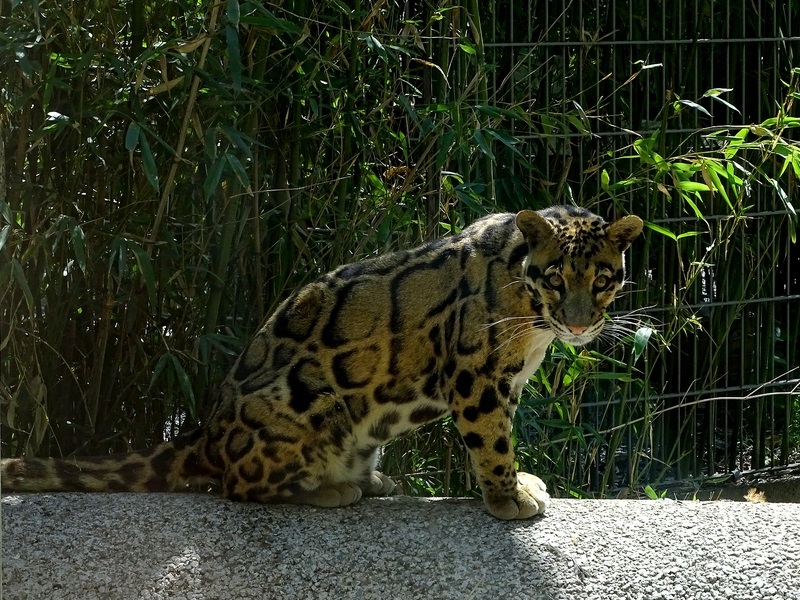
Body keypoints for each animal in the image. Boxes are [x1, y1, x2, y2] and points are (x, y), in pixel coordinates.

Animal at [1, 205, 643, 520]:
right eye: (556, 277)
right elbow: (491, 441)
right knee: (237, 488)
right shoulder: (475, 373)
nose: (580, 324)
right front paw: (508, 498)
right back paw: (331, 489)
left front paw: (514, 484)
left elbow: (500, 435)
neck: (534, 315)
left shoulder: (504, 380)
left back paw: (370, 478)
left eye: (602, 279)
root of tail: (205, 432)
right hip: (302, 401)